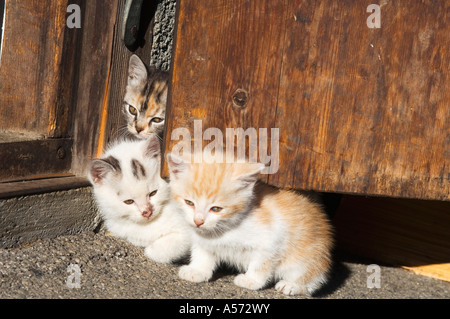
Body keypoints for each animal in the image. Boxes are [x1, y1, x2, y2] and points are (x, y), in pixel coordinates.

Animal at [167, 152, 332, 298]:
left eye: (216, 209)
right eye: (189, 202)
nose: (198, 221)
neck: (226, 228)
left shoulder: (273, 238)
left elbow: (261, 263)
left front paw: (251, 281)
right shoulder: (202, 239)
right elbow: (202, 252)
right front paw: (197, 271)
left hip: (306, 256)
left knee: (312, 280)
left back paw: (292, 285)